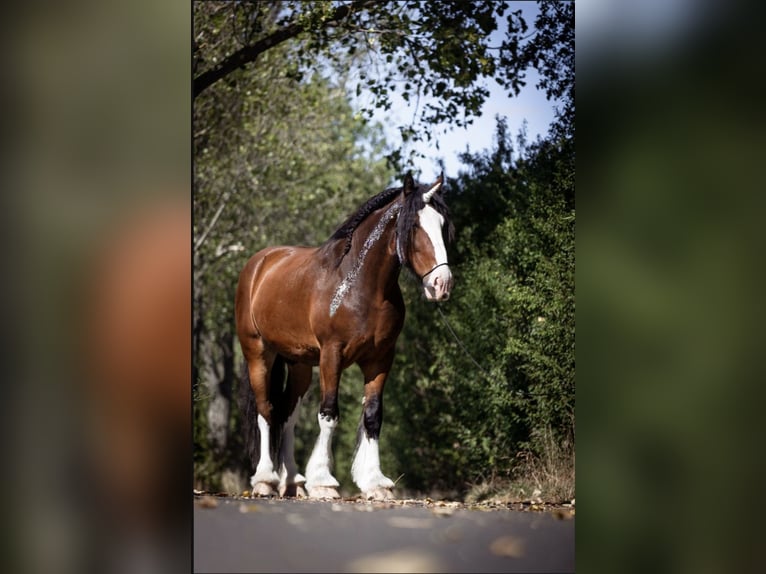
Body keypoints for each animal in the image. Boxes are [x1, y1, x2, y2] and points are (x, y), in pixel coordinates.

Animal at [235, 172, 454, 500]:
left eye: (442, 224)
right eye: (414, 225)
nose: (442, 284)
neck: (360, 286)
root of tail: (259, 264)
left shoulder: (380, 359)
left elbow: (373, 416)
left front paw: (376, 482)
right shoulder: (332, 355)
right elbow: (328, 415)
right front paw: (324, 481)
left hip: (299, 365)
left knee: (287, 415)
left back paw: (293, 481)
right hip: (258, 355)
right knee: (266, 412)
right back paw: (266, 480)